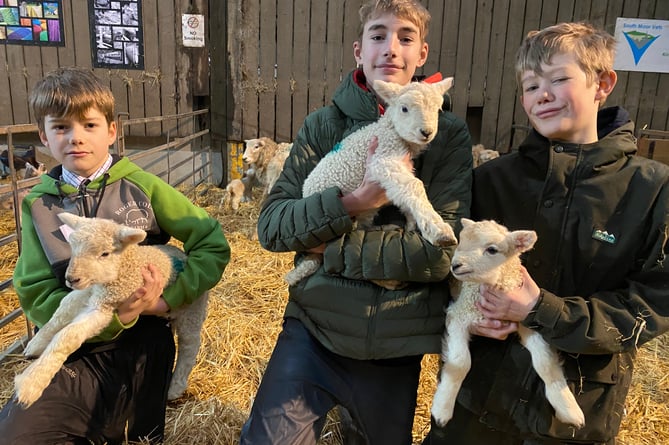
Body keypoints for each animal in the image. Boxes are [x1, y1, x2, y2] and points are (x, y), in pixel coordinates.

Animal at [15, 213, 209, 408]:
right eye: (73, 248)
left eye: (105, 253)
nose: (71, 279)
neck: (123, 268)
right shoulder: (91, 292)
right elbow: (63, 309)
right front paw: (37, 343)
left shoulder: (106, 305)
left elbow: (69, 335)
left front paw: (31, 383)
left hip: (192, 310)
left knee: (190, 345)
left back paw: (175, 387)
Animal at [284, 78, 456, 286]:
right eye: (404, 108)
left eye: (438, 109)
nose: (426, 132)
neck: (389, 130)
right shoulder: (382, 160)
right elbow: (414, 186)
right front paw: (439, 230)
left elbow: (404, 194)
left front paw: (412, 223)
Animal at [430, 219, 580, 426]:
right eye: (461, 240)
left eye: (492, 250)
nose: (455, 265)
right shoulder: (458, 315)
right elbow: (460, 363)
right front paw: (442, 409)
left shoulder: (526, 318)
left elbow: (545, 363)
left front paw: (569, 408)